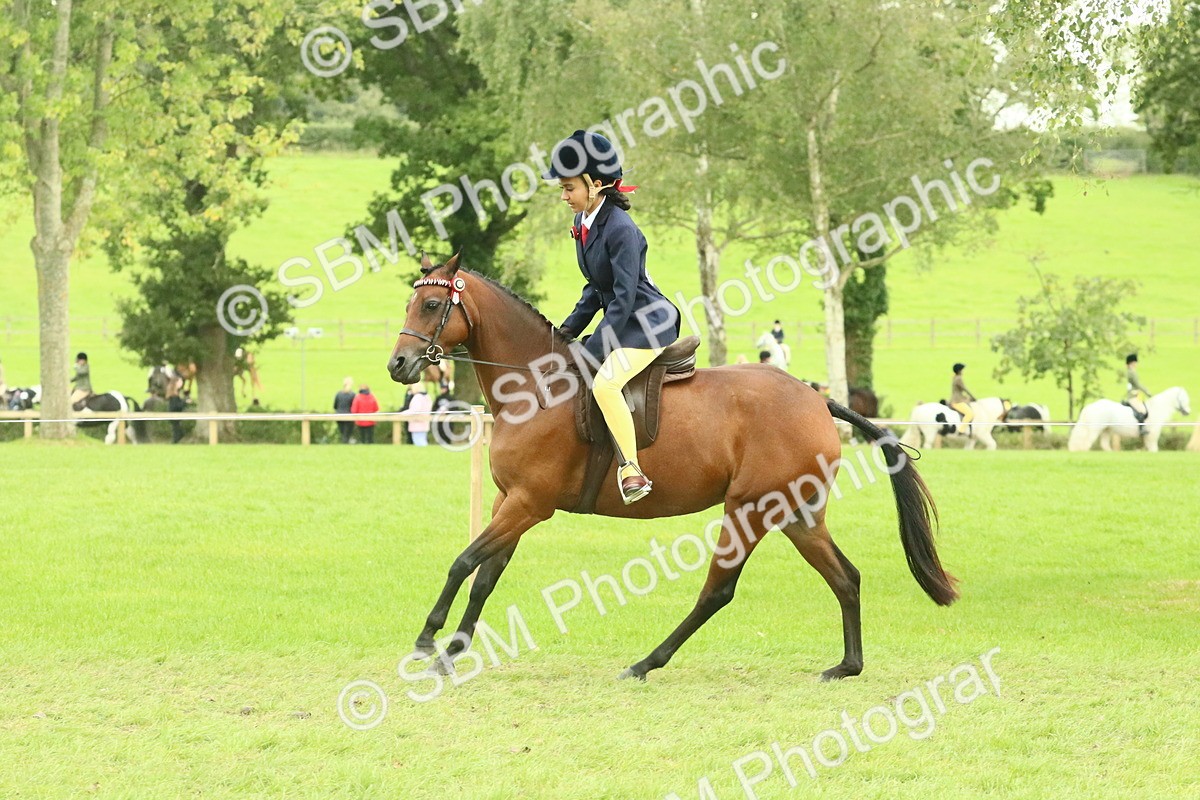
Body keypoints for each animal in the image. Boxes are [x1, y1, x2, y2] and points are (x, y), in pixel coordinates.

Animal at [386, 253, 957, 683]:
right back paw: (846, 666)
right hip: (796, 513)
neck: (533, 384)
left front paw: (427, 641)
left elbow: (463, 562)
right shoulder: (511, 501)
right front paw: (451, 652)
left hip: (749, 510)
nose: (397, 365)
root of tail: (818, 400)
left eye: (432, 304)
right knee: (845, 577)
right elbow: (485, 575)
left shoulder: (530, 503)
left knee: (718, 591)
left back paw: (645, 663)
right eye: (410, 301)